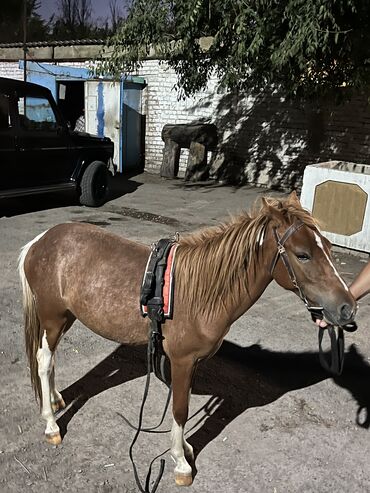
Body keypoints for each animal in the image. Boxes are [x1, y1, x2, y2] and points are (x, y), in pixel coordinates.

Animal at [18, 191, 356, 484]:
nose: (347, 308)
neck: (202, 293)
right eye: (303, 255)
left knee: (50, 360)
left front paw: (185, 449)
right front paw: (181, 462)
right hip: (53, 318)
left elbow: (186, 405)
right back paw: (51, 423)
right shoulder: (181, 361)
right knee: (43, 360)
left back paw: (54, 398)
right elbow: (180, 410)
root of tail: (39, 241)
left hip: (66, 318)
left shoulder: (193, 365)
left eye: (328, 247)